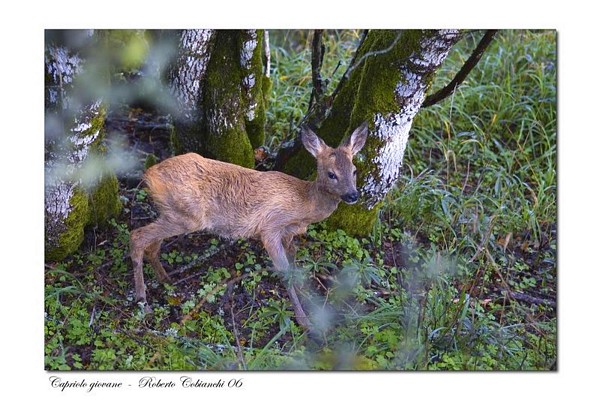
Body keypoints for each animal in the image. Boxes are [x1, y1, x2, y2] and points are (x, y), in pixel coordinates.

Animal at [129, 122, 368, 328]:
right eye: (331, 174)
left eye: (354, 171)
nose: (353, 195)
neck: (304, 204)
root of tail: (149, 174)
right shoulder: (270, 227)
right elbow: (285, 272)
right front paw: (304, 321)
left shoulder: (288, 232)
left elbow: (294, 262)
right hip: (188, 217)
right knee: (137, 236)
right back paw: (142, 299)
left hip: (173, 213)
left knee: (152, 244)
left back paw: (166, 279)